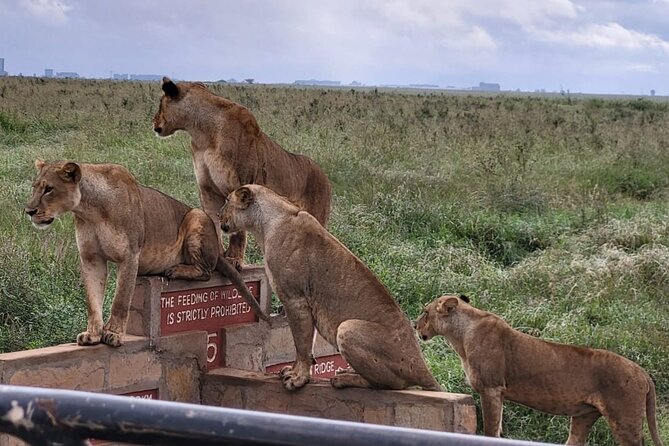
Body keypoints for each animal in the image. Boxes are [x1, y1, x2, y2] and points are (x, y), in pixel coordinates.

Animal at [24, 160, 268, 348]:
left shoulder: (130, 256)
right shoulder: (91, 259)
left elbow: (121, 300)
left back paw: (174, 269)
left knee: (206, 271)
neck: (90, 210)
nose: (29, 211)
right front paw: (92, 335)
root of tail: (219, 252)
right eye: (35, 187)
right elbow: (92, 301)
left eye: (49, 189)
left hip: (197, 216)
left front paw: (113, 334)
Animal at [150, 77, 330, 268]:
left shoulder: (241, 184)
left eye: (160, 102)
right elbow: (212, 223)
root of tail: (325, 176)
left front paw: (234, 259)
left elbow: (238, 231)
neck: (203, 134)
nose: (153, 121)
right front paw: (218, 256)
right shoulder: (208, 190)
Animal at [217, 184, 440, 390]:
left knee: (389, 384)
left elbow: (301, 343)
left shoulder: (294, 298)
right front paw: (295, 371)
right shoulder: (307, 303)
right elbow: (308, 343)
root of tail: (421, 366)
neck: (267, 223)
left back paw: (345, 378)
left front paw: (298, 378)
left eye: (227, 200)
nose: (218, 216)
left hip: (347, 328)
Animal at [414, 294, 660, 444]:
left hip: (624, 418)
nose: (415, 325)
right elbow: (498, 427)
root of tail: (643, 373)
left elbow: (491, 429)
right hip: (584, 415)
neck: (461, 334)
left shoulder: (491, 388)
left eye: (425, 312)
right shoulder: (498, 393)